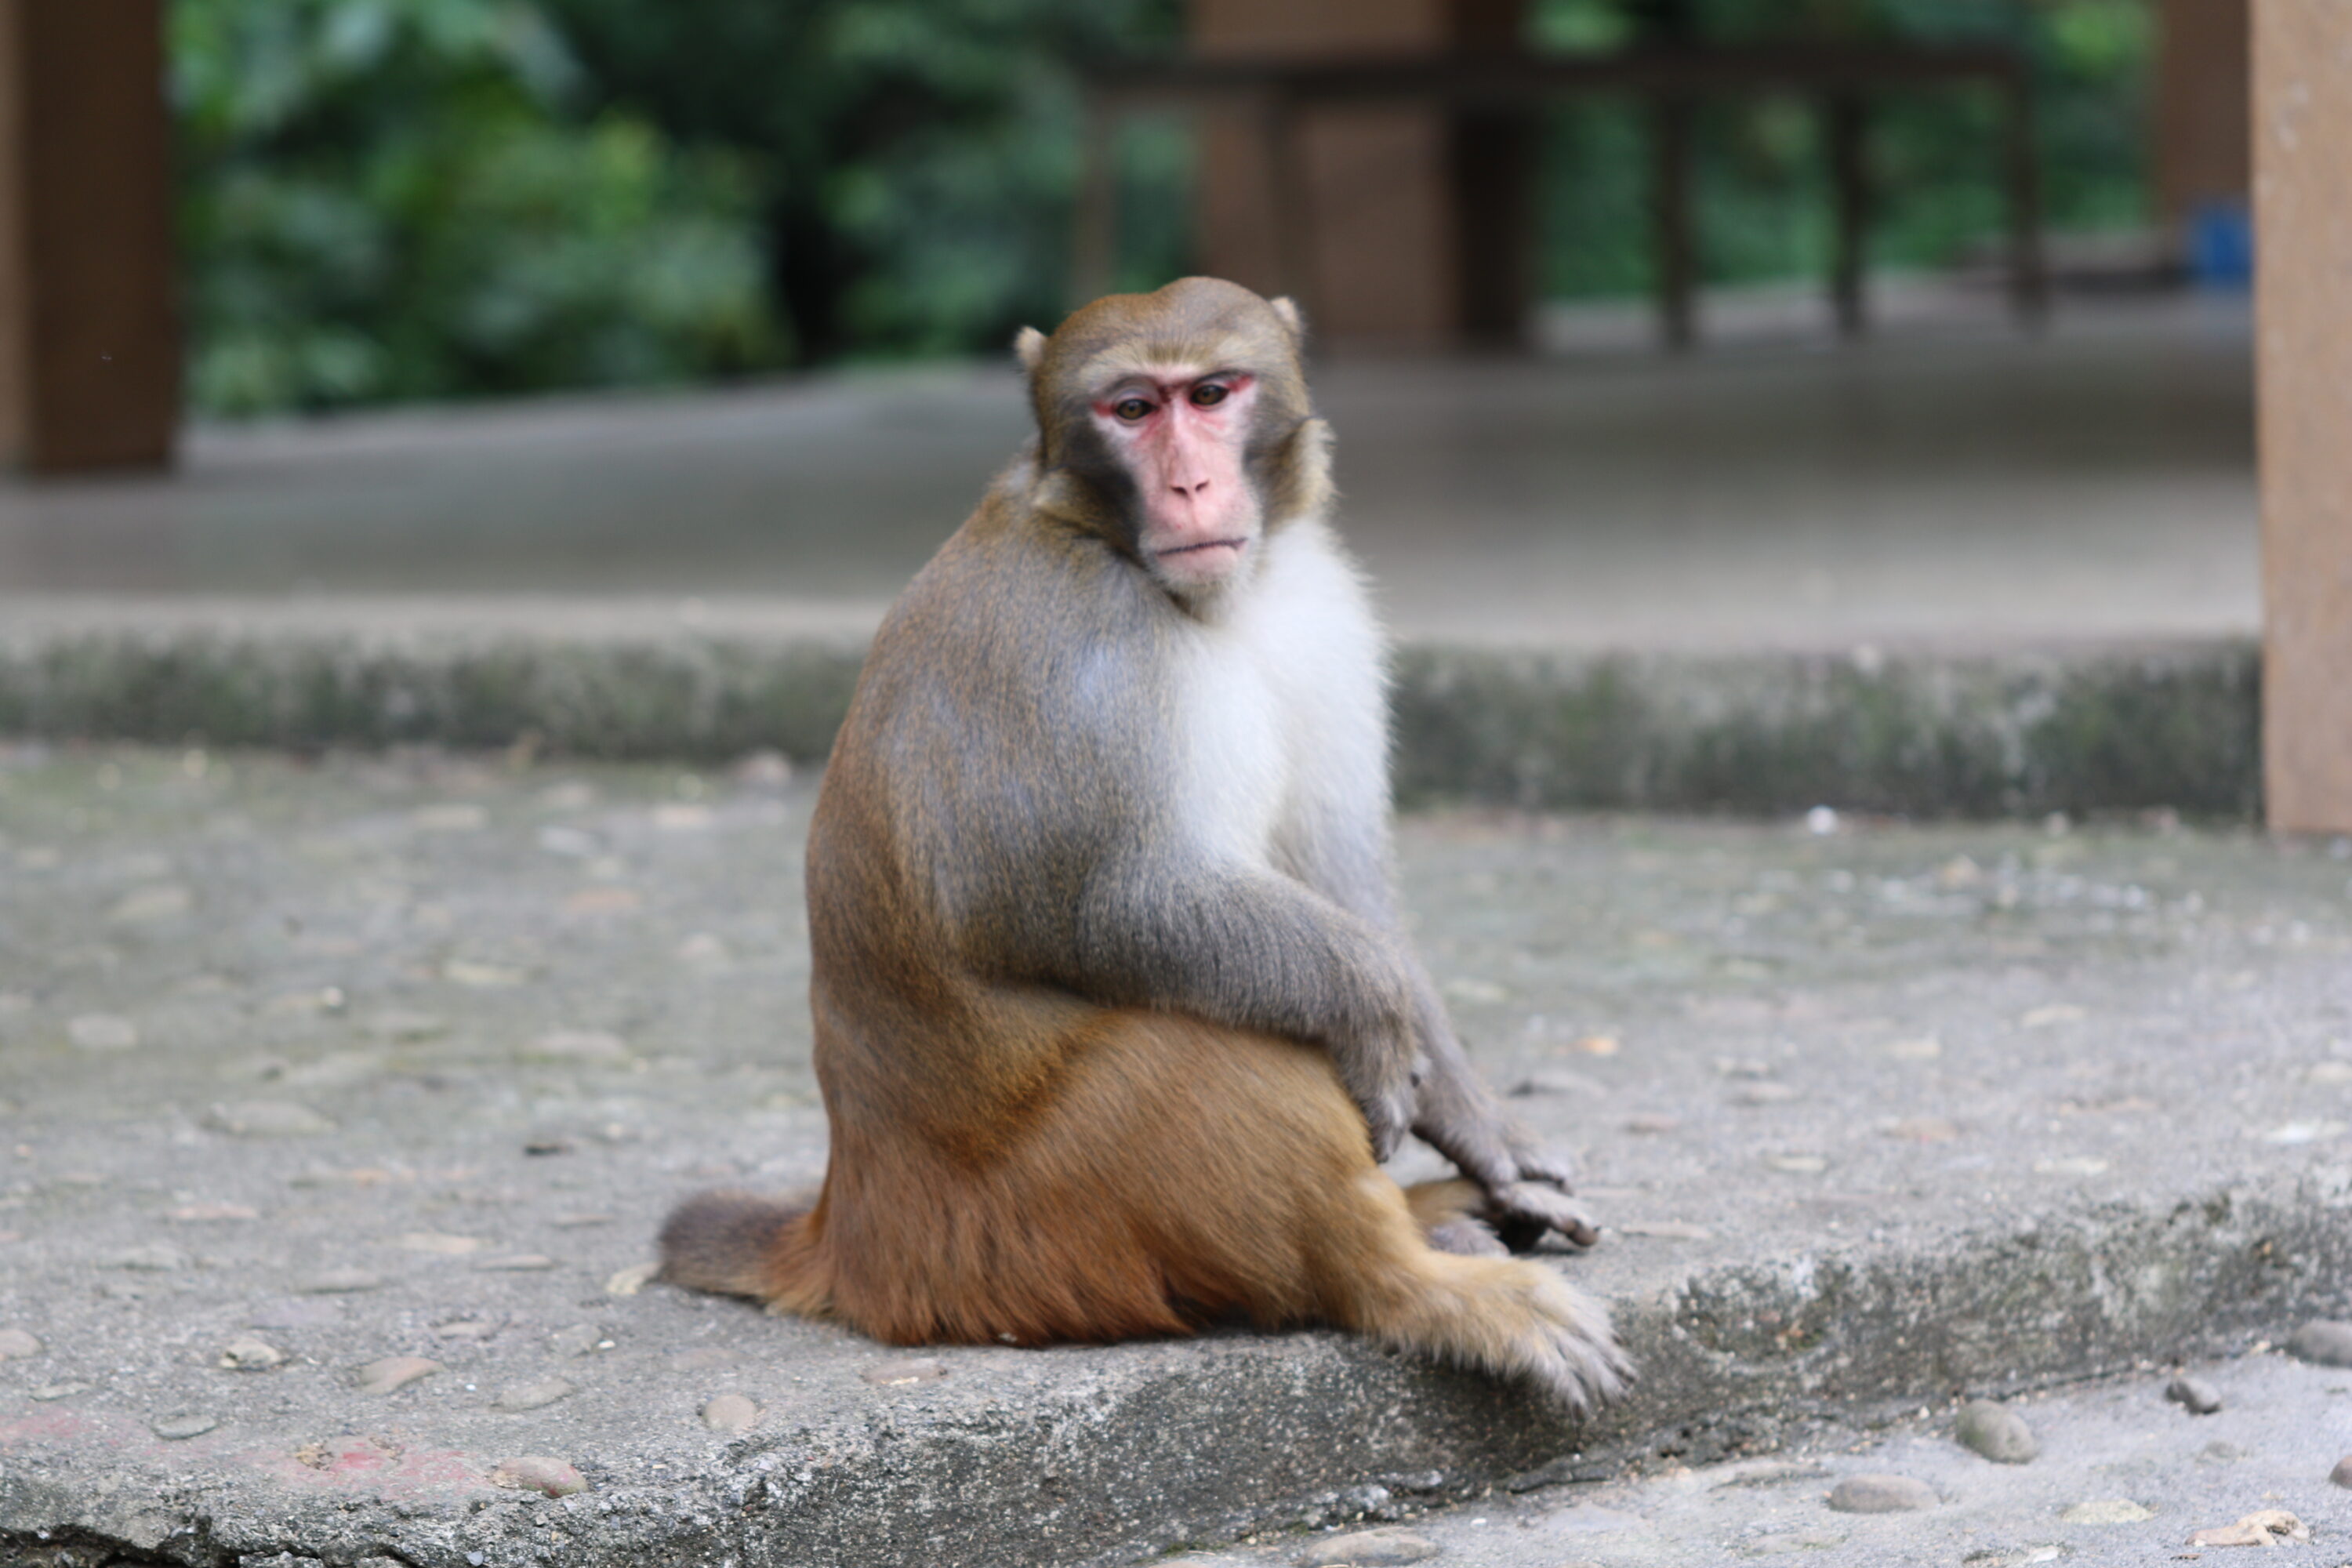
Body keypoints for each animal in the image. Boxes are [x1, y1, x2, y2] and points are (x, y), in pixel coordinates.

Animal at [660, 277, 1629, 1411]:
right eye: (1131, 410)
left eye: (1210, 394)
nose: (1190, 481)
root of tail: (854, 1229)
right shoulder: (1082, 648)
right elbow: (1106, 903)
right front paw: (1376, 1005)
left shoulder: (1317, 613)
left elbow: (1341, 880)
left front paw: (1482, 1130)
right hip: (1039, 1227)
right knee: (1193, 1044)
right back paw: (1414, 1279)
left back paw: (1446, 1217)